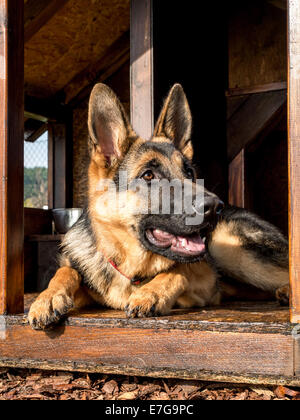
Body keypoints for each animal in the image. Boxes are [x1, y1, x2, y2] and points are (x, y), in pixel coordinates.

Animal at [28, 83, 288, 330]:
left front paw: (151, 293)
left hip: (228, 249)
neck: (132, 270)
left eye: (189, 172)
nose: (216, 206)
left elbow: (178, 272)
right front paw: (47, 298)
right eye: (148, 175)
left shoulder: (206, 279)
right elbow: (66, 271)